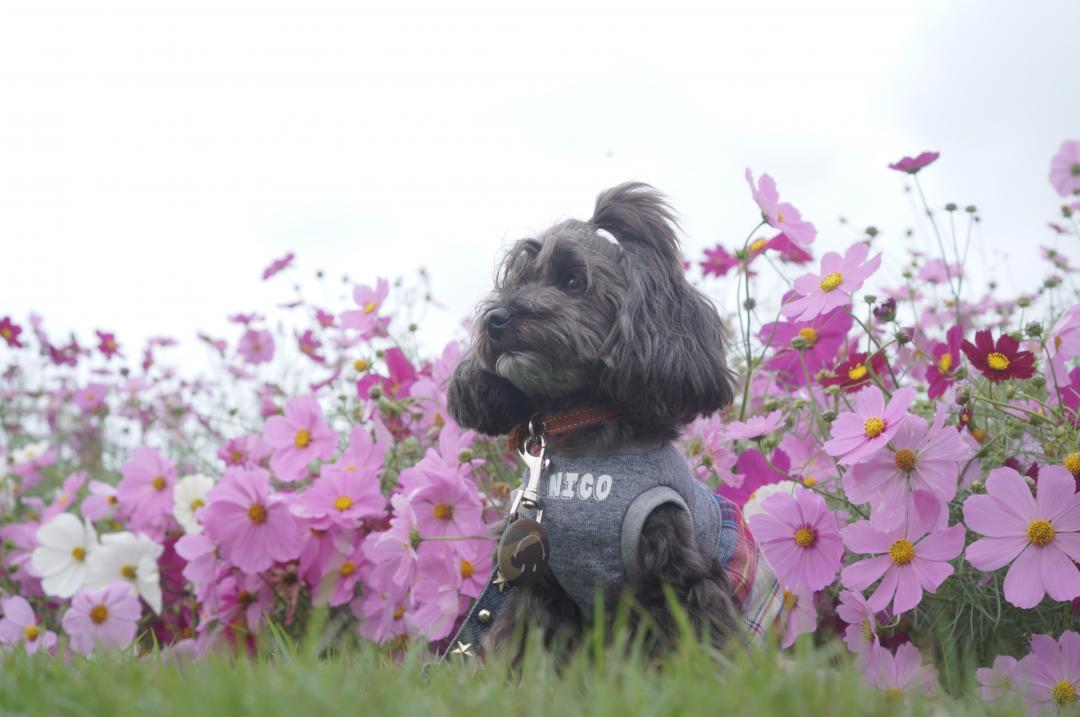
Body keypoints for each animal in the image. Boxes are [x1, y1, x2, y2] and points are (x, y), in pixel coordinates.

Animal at [444, 182, 777, 656]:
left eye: (572, 281)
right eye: (517, 282)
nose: (496, 318)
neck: (583, 440)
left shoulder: (681, 570)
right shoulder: (535, 578)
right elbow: (523, 648)